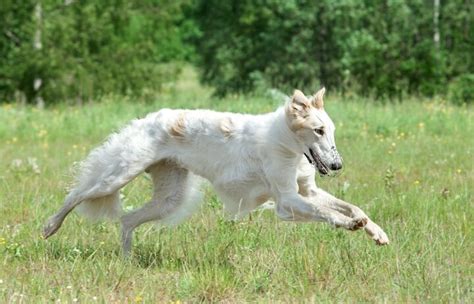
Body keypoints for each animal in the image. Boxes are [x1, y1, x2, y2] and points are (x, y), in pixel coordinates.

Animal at [43, 88, 388, 254]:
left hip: (170, 198)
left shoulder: (308, 190)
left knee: (126, 221)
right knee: (76, 194)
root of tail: (148, 118)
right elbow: (328, 213)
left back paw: (127, 260)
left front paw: (375, 232)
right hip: (118, 175)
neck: (285, 141)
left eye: (330, 130)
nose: (337, 165)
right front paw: (348, 224)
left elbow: (354, 207)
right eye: (318, 130)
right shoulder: (287, 200)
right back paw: (49, 227)